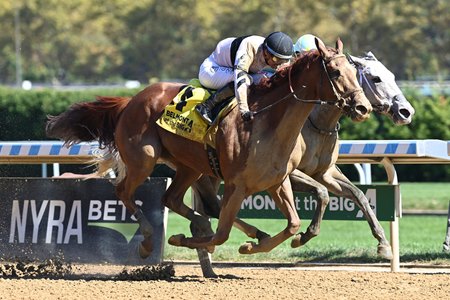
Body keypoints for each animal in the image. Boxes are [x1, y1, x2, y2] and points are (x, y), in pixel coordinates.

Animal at [45, 37, 370, 258]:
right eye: (335, 73)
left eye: (355, 71)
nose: (363, 108)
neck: (268, 123)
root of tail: (130, 101)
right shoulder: (237, 185)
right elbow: (221, 235)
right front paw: (183, 240)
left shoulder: (277, 181)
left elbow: (292, 223)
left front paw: (257, 244)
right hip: (144, 159)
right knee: (124, 191)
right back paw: (149, 240)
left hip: (189, 166)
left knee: (171, 199)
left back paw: (223, 226)